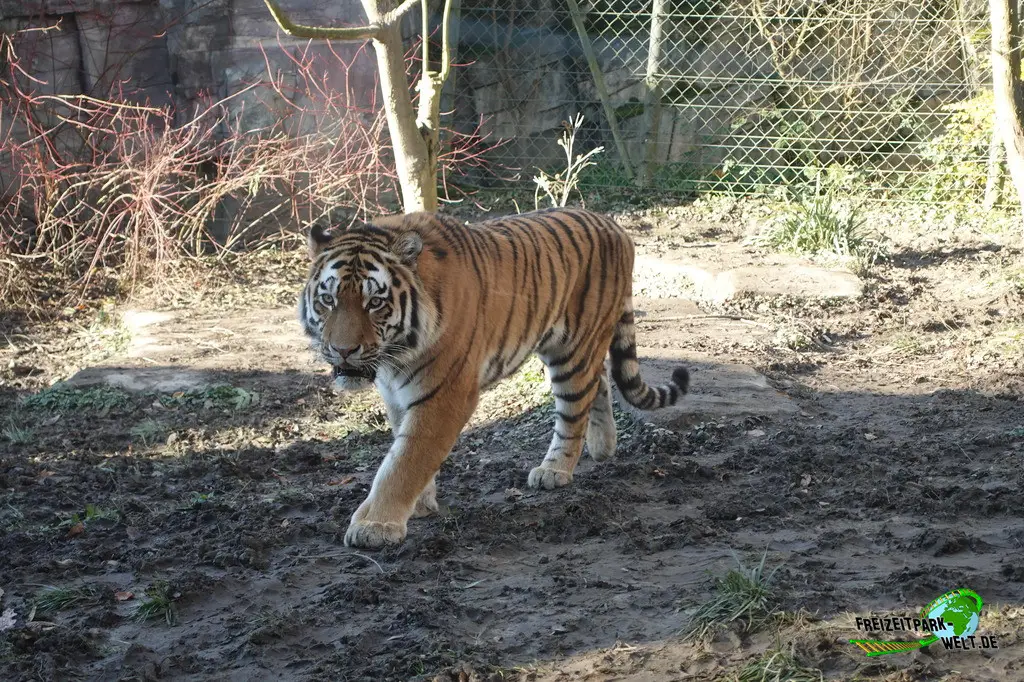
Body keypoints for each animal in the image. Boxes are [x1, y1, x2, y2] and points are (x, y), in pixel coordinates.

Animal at [299, 207, 689, 549]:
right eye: (328, 300)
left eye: (375, 303)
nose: (343, 350)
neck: (397, 355)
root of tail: (615, 226)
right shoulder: (396, 395)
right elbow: (402, 448)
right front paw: (420, 504)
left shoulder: (445, 395)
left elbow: (404, 461)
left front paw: (375, 525)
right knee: (601, 383)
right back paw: (603, 447)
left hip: (573, 350)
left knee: (574, 410)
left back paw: (555, 469)